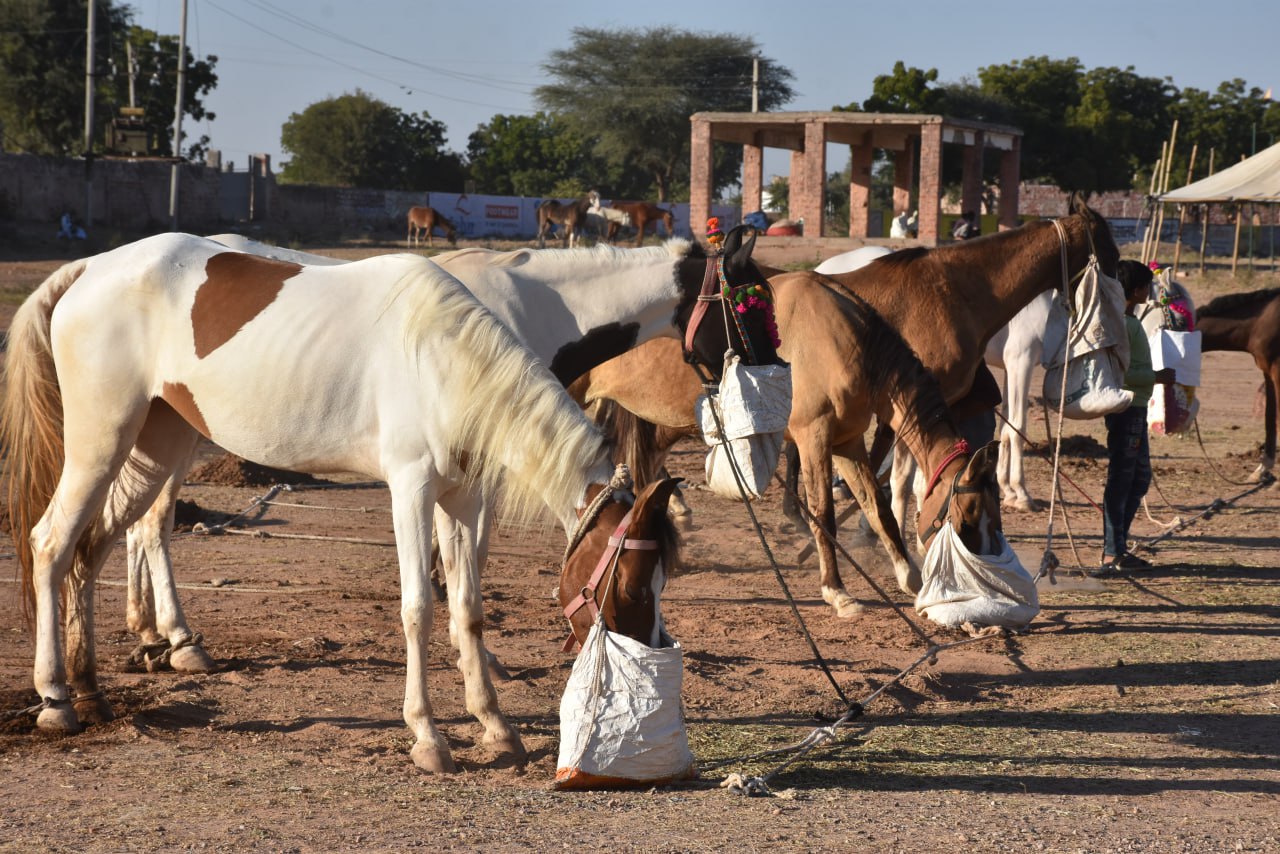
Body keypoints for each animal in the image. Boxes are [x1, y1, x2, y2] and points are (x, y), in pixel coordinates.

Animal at [0, 234, 747, 773]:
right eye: (631, 581)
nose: (652, 655)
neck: (445, 357)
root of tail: (87, 269)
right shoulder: (411, 488)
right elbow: (419, 608)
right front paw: (430, 738)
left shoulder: (464, 495)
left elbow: (468, 606)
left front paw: (495, 725)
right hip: (103, 441)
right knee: (53, 543)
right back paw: (58, 698)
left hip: (155, 443)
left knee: (94, 547)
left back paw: (96, 683)